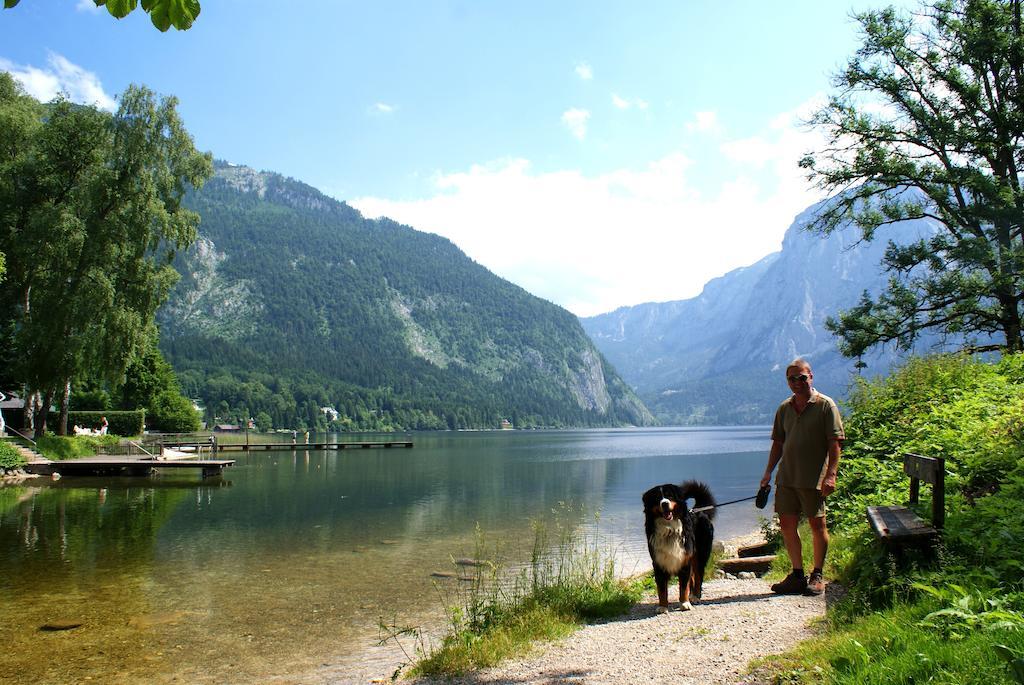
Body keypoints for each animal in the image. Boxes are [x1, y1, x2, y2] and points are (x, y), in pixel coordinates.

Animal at [643, 479, 716, 610]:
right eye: (657, 498)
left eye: (670, 496)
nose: (664, 503)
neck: (669, 530)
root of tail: (700, 511)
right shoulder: (658, 561)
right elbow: (662, 589)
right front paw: (663, 607)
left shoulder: (684, 560)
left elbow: (683, 586)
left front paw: (685, 603)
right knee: (693, 578)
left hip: (700, 555)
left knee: (698, 577)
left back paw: (695, 597)